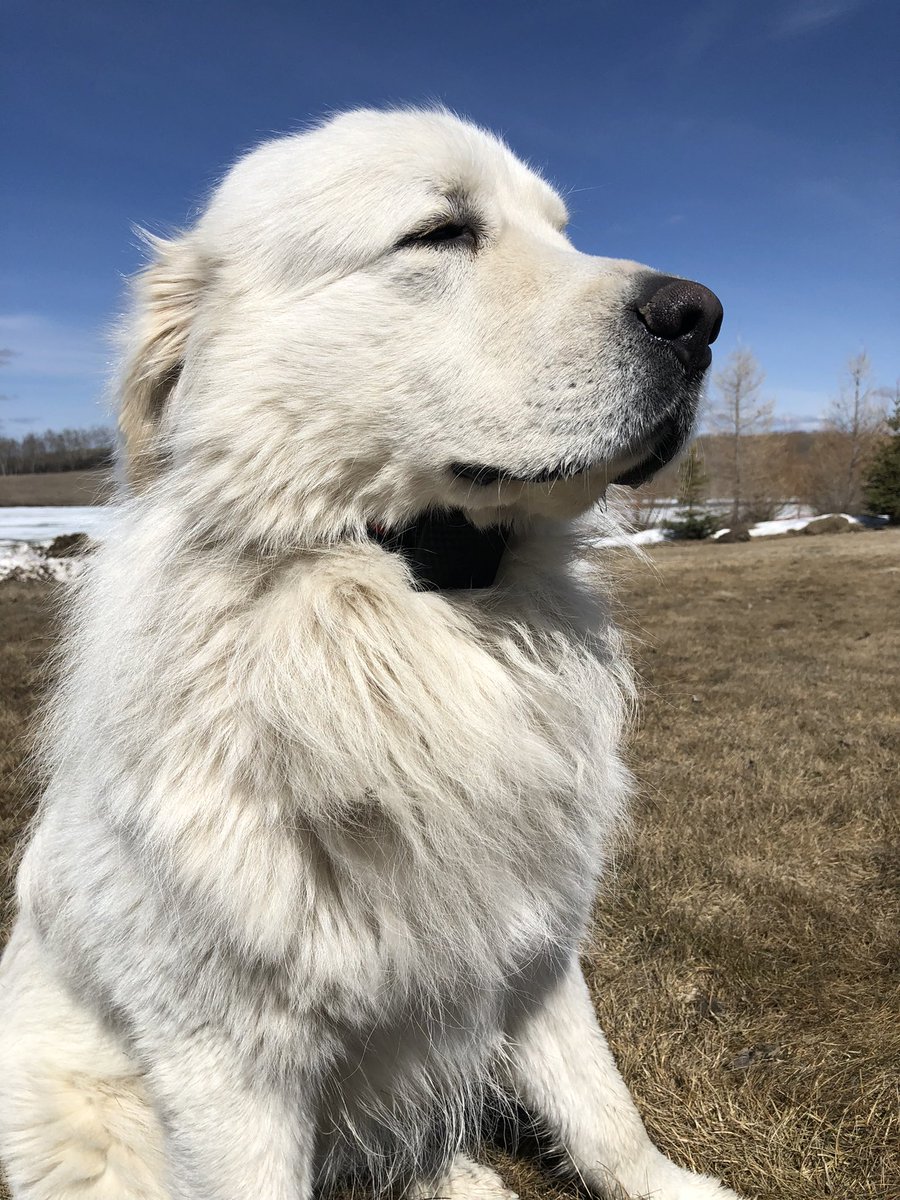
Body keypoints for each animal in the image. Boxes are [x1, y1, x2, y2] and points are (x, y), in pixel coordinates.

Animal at [1, 105, 734, 1200]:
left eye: (561, 231)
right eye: (439, 233)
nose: (702, 315)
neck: (411, 592)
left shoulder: (536, 941)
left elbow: (603, 1107)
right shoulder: (228, 1068)